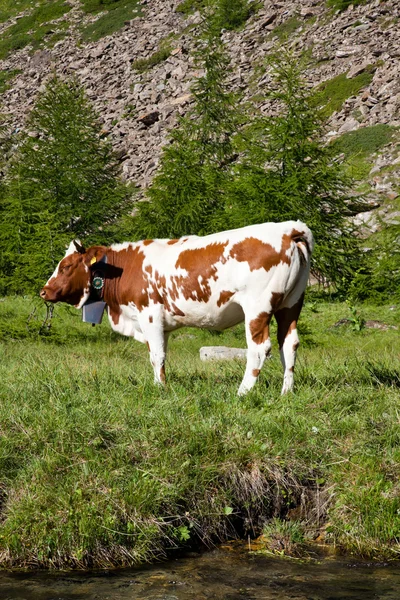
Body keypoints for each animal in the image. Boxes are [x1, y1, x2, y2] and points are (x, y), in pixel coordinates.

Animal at [39, 220, 312, 394]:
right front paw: (159, 384)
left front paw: (161, 389)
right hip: (291, 303)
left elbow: (156, 355)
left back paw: (243, 392)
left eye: (66, 266)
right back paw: (286, 392)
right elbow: (158, 354)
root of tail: (288, 229)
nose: (44, 290)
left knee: (259, 348)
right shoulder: (161, 324)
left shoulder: (149, 315)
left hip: (257, 307)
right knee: (289, 344)